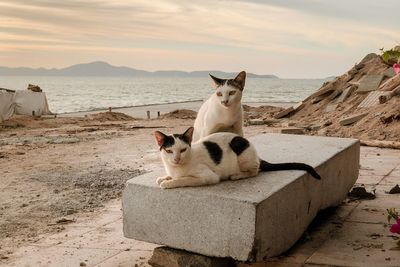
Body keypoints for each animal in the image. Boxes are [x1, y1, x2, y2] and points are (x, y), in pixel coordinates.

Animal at [155, 126, 320, 189]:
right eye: (169, 151)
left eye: (183, 150)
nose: (176, 159)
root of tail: (257, 155)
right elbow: (171, 176)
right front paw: (164, 178)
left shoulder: (209, 176)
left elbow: (184, 179)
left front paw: (169, 183)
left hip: (240, 149)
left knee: (255, 171)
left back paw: (237, 175)